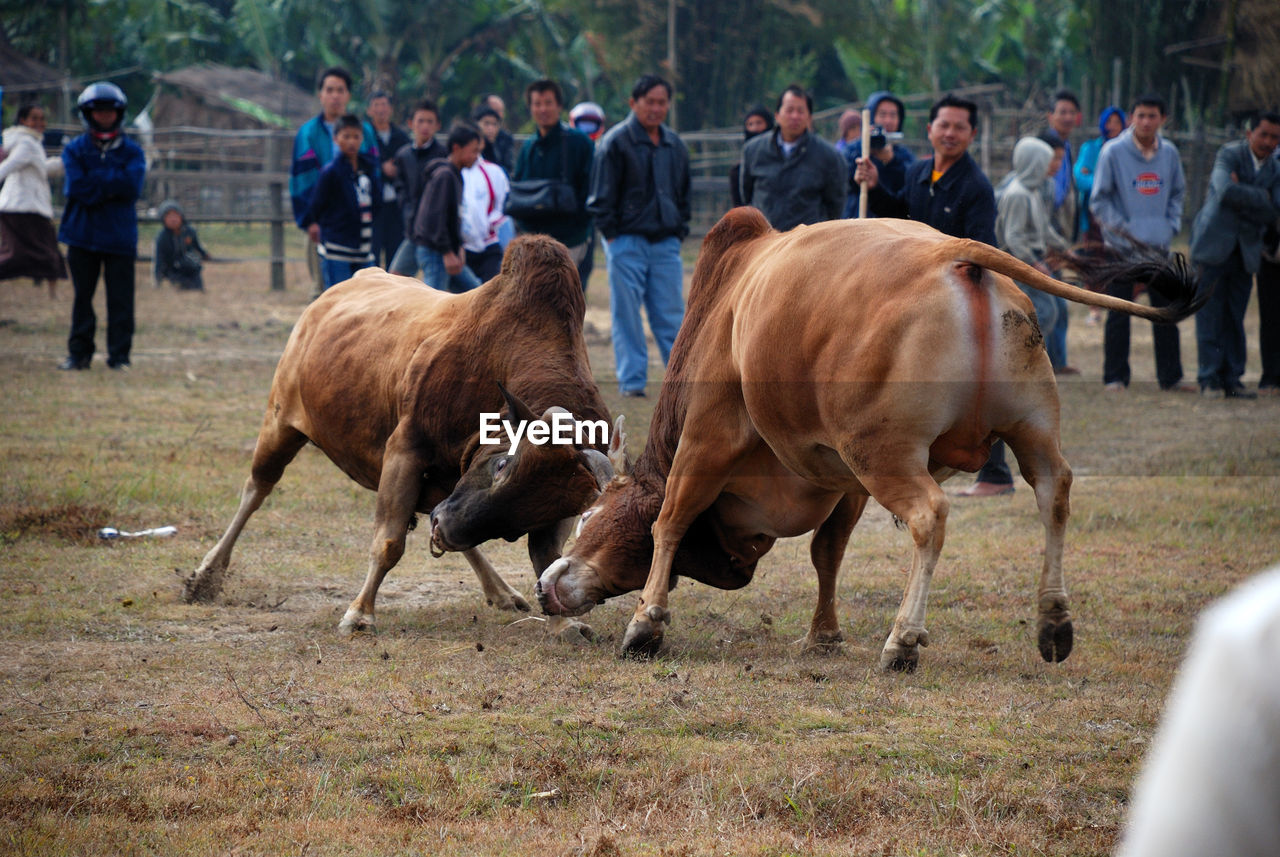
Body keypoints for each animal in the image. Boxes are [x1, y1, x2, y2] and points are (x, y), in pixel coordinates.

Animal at [184, 232, 614, 636]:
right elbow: (388, 542)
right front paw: (360, 614)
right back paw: (207, 575)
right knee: (255, 490)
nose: (448, 530)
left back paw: (499, 589)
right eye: (501, 465)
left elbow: (546, 556)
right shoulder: (405, 450)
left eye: (521, 523)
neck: (500, 358)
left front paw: (563, 623)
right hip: (281, 421)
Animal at [535, 208, 1203, 670]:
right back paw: (1053, 621)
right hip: (1025, 430)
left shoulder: (707, 439)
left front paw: (646, 624)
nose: (544, 587)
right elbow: (827, 554)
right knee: (1053, 494)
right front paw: (823, 634)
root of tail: (956, 255)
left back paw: (903, 641)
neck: (728, 311)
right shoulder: (843, 482)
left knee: (930, 515)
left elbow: (667, 521)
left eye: (590, 514)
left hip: (885, 456)